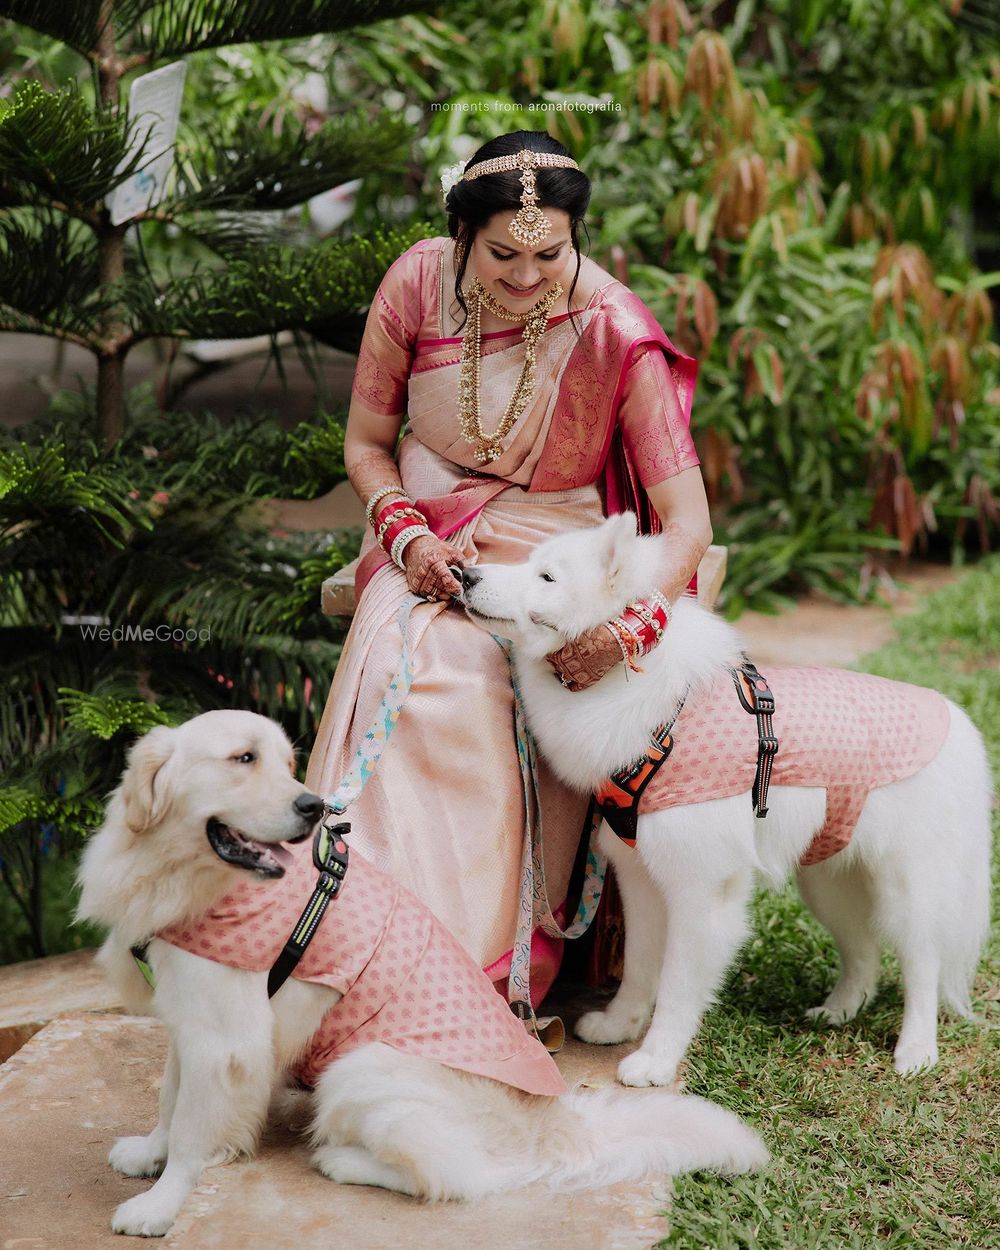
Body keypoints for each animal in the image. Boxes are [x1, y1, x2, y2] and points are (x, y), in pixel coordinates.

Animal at [78, 710, 770, 1235]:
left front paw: (159, 1205)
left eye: (283, 760)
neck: (180, 876)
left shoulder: (225, 1041)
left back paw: (343, 1162)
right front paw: (149, 1152)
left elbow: (192, 1128)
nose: (312, 806)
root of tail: (551, 1124)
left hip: (357, 1069)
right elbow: (170, 1099)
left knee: (458, 1177)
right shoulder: (190, 1018)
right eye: (243, 758)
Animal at [460, 512, 990, 1090]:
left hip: (906, 890)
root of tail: (956, 721)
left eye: (547, 577)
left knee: (922, 965)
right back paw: (840, 1010)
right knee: (864, 952)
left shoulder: (703, 891)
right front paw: (621, 1025)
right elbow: (640, 967)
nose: (464, 574)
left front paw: (656, 1059)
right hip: (828, 881)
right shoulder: (641, 880)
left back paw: (915, 1050)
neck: (658, 712)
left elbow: (676, 987)